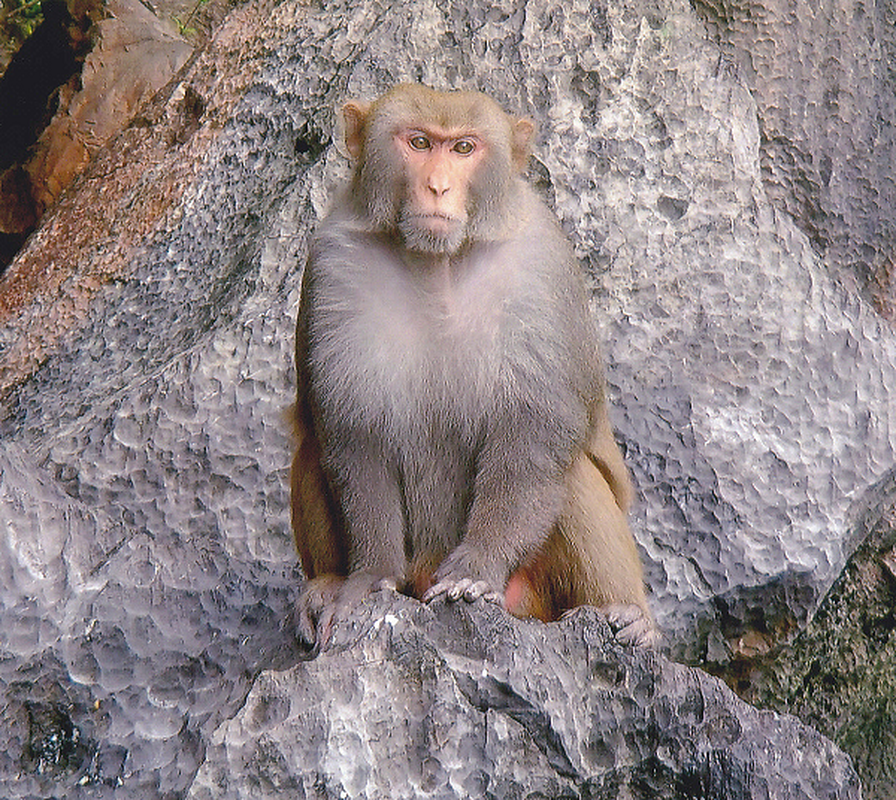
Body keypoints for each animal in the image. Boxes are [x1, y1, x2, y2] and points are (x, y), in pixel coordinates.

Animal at [290, 84, 656, 652]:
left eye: (464, 148)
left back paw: (627, 616)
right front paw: (368, 579)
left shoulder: (540, 269)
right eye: (419, 143)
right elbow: (354, 436)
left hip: (535, 594)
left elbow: (534, 432)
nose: (438, 187)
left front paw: (476, 569)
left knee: (569, 471)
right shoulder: (334, 265)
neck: (438, 264)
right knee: (312, 443)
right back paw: (325, 585)